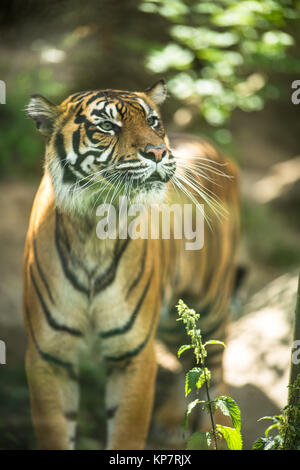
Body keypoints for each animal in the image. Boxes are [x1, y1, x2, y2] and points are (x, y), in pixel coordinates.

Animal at [22, 81, 239, 452]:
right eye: (108, 127)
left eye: (152, 121)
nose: (158, 152)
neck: (94, 228)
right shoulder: (48, 357)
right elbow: (55, 432)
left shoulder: (134, 356)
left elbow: (126, 431)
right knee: (189, 361)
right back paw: (170, 421)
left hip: (209, 303)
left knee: (215, 361)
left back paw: (222, 430)